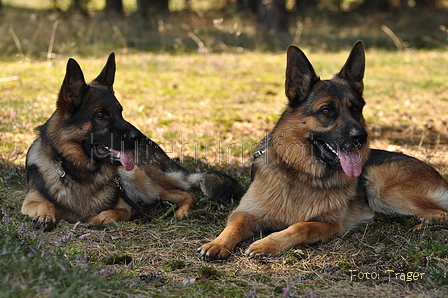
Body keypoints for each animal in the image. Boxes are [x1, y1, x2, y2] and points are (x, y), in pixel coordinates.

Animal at [21, 53, 242, 232]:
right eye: (101, 114)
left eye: (121, 112)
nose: (139, 137)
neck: (79, 174)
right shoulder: (29, 202)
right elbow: (45, 203)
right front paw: (45, 216)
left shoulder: (124, 207)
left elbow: (109, 214)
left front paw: (93, 220)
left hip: (141, 180)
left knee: (187, 195)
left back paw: (181, 212)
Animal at [199, 40, 448, 260]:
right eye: (326, 111)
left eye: (356, 109)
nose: (361, 138)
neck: (301, 174)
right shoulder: (245, 213)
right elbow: (234, 226)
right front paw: (217, 243)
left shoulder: (328, 224)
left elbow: (300, 227)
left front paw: (267, 243)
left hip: (380, 187)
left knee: (441, 213)